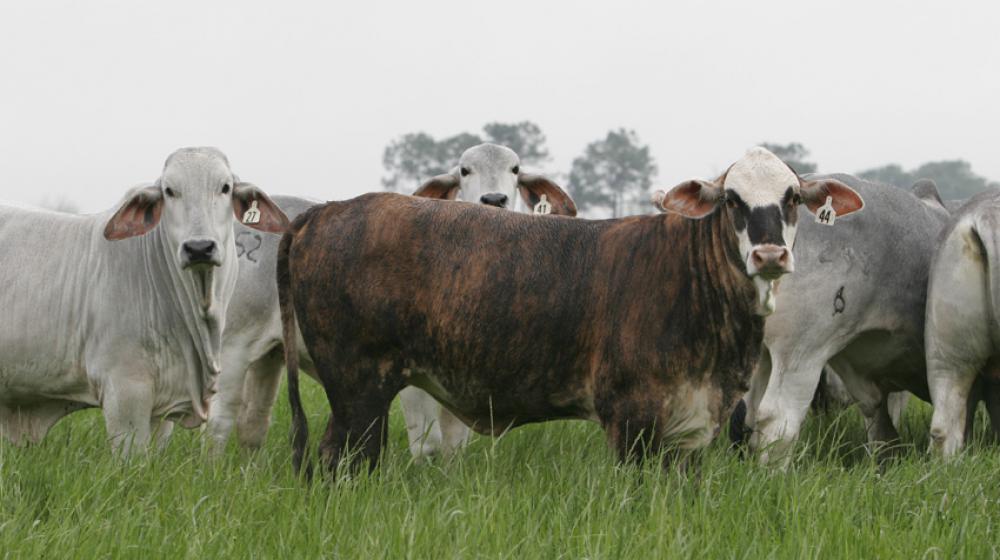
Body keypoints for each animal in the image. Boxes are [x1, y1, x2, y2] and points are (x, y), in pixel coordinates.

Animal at [278, 147, 864, 474]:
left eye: (792, 197)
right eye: (732, 200)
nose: (769, 254)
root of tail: (327, 211)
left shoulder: (693, 425)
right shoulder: (631, 418)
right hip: (358, 391)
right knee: (340, 460)